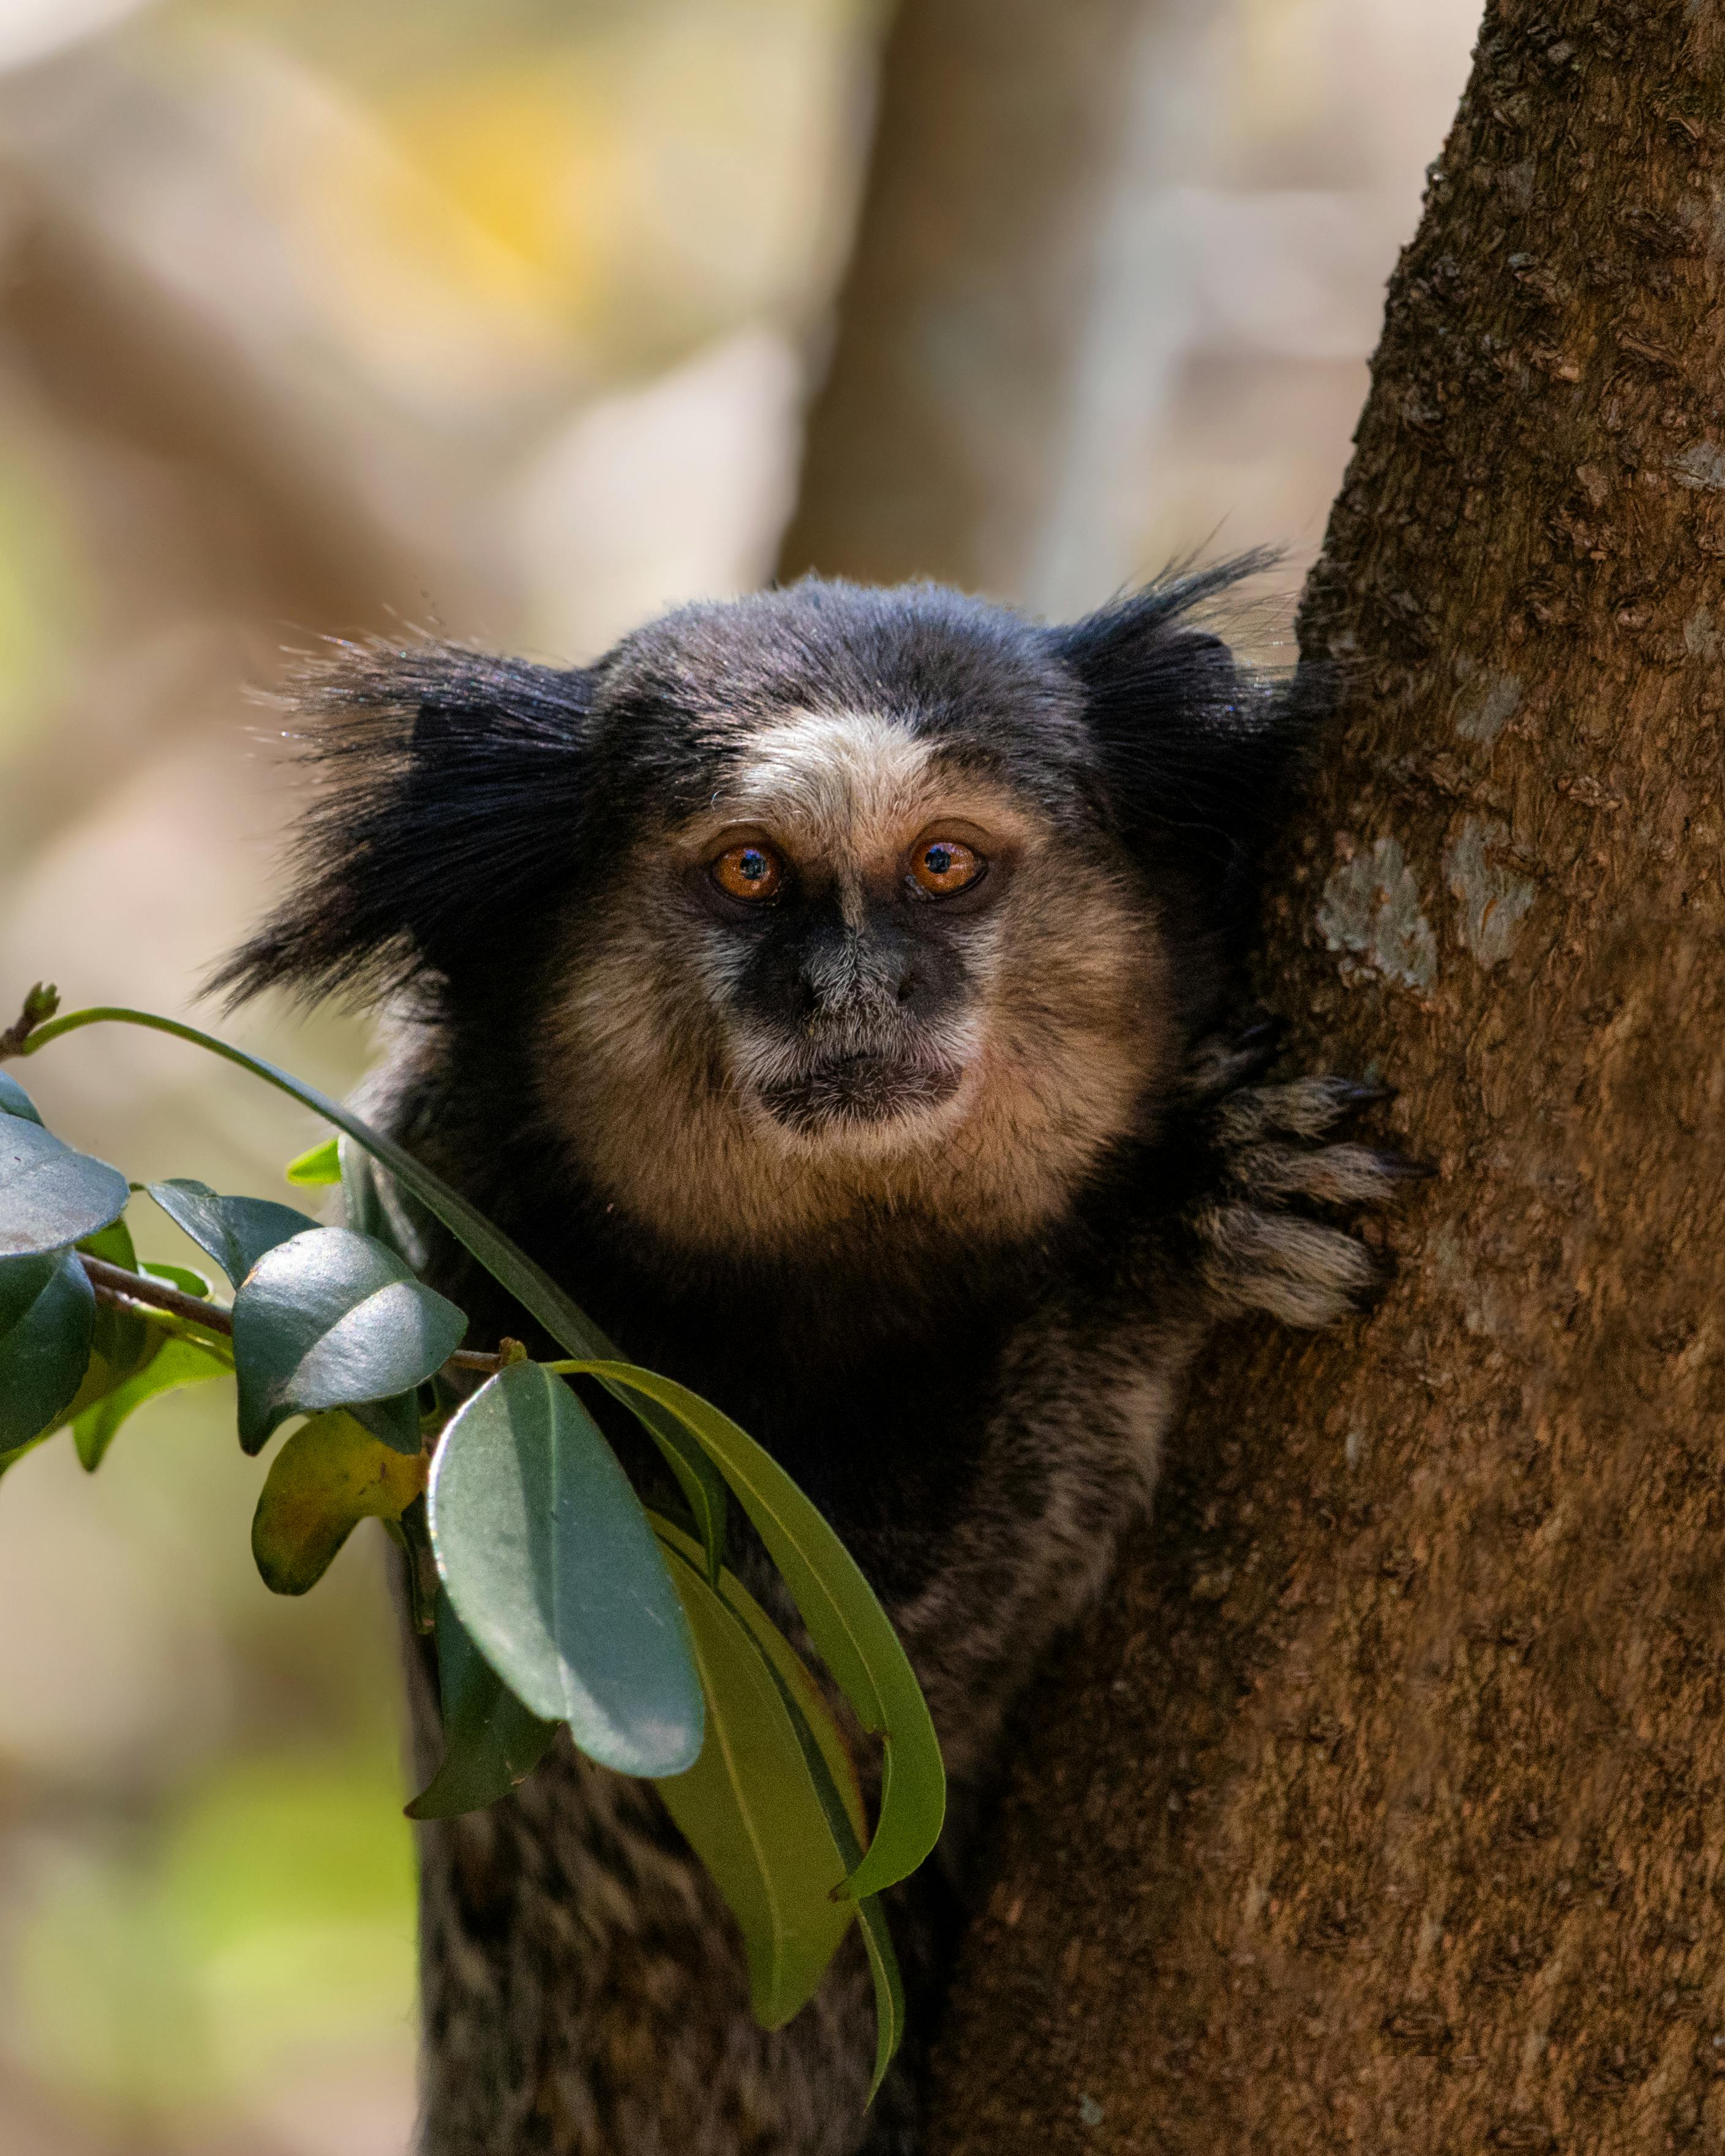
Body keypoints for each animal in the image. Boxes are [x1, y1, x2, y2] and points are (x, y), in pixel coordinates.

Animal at [219, 565, 1397, 2147]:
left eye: (944, 864)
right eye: (750, 872)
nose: (852, 991)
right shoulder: (471, 1274)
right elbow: (834, 1709)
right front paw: (1155, 1237)